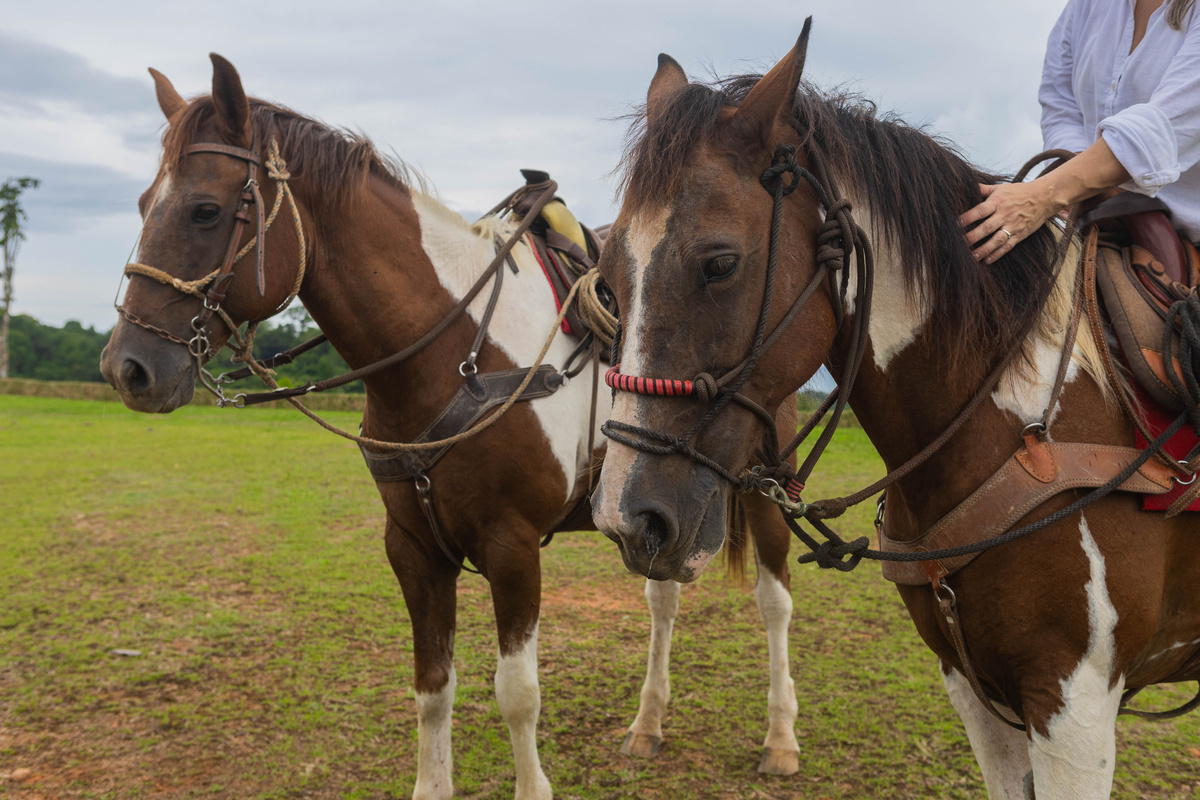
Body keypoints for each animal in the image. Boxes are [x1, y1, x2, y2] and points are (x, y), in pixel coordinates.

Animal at [98, 55, 804, 799]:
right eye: (142, 205)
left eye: (205, 210)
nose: (126, 367)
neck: (453, 354)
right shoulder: (413, 549)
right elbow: (433, 688)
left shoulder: (512, 547)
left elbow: (517, 694)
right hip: (660, 513)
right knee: (662, 598)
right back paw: (647, 726)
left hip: (759, 487)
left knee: (774, 601)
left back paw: (780, 738)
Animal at [591, 22, 1200, 800]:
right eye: (608, 281)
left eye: (719, 263)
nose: (626, 517)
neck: (1027, 424)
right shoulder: (978, 693)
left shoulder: (1075, 708)